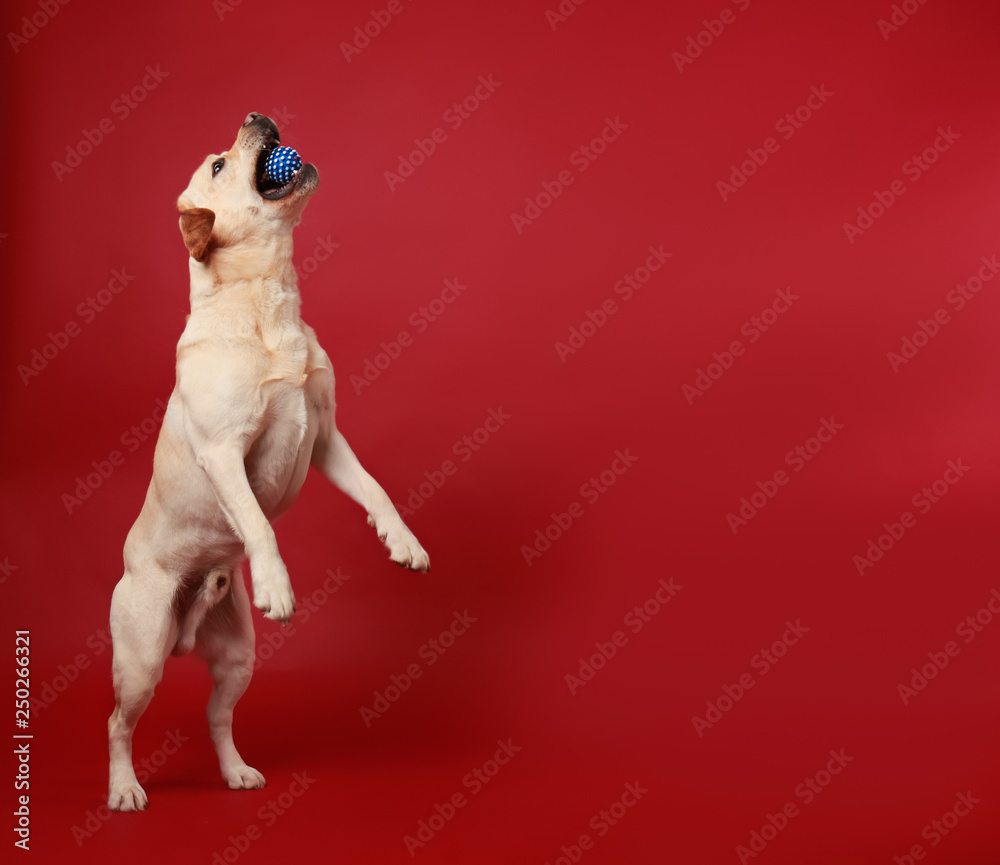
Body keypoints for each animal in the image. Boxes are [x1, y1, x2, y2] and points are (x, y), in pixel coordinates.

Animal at [107, 113, 428, 808]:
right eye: (218, 166)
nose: (259, 117)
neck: (267, 298)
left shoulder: (329, 439)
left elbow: (376, 490)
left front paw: (404, 543)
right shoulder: (225, 450)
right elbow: (258, 523)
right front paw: (278, 585)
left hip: (237, 659)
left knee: (216, 717)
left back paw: (235, 772)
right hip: (141, 658)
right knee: (118, 722)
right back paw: (124, 790)